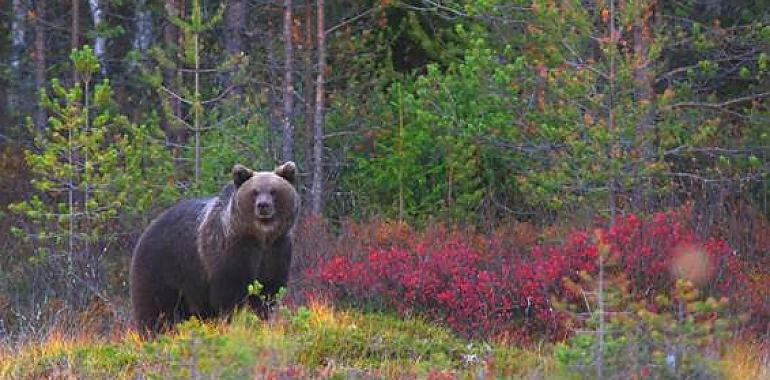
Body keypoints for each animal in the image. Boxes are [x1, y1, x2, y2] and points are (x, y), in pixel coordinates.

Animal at [129, 162, 296, 334]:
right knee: (156, 310)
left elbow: (269, 292)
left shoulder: (277, 250)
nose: (263, 205)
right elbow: (229, 296)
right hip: (160, 269)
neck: (261, 238)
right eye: (254, 192)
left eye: (273, 191)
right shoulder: (232, 252)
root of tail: (146, 231)